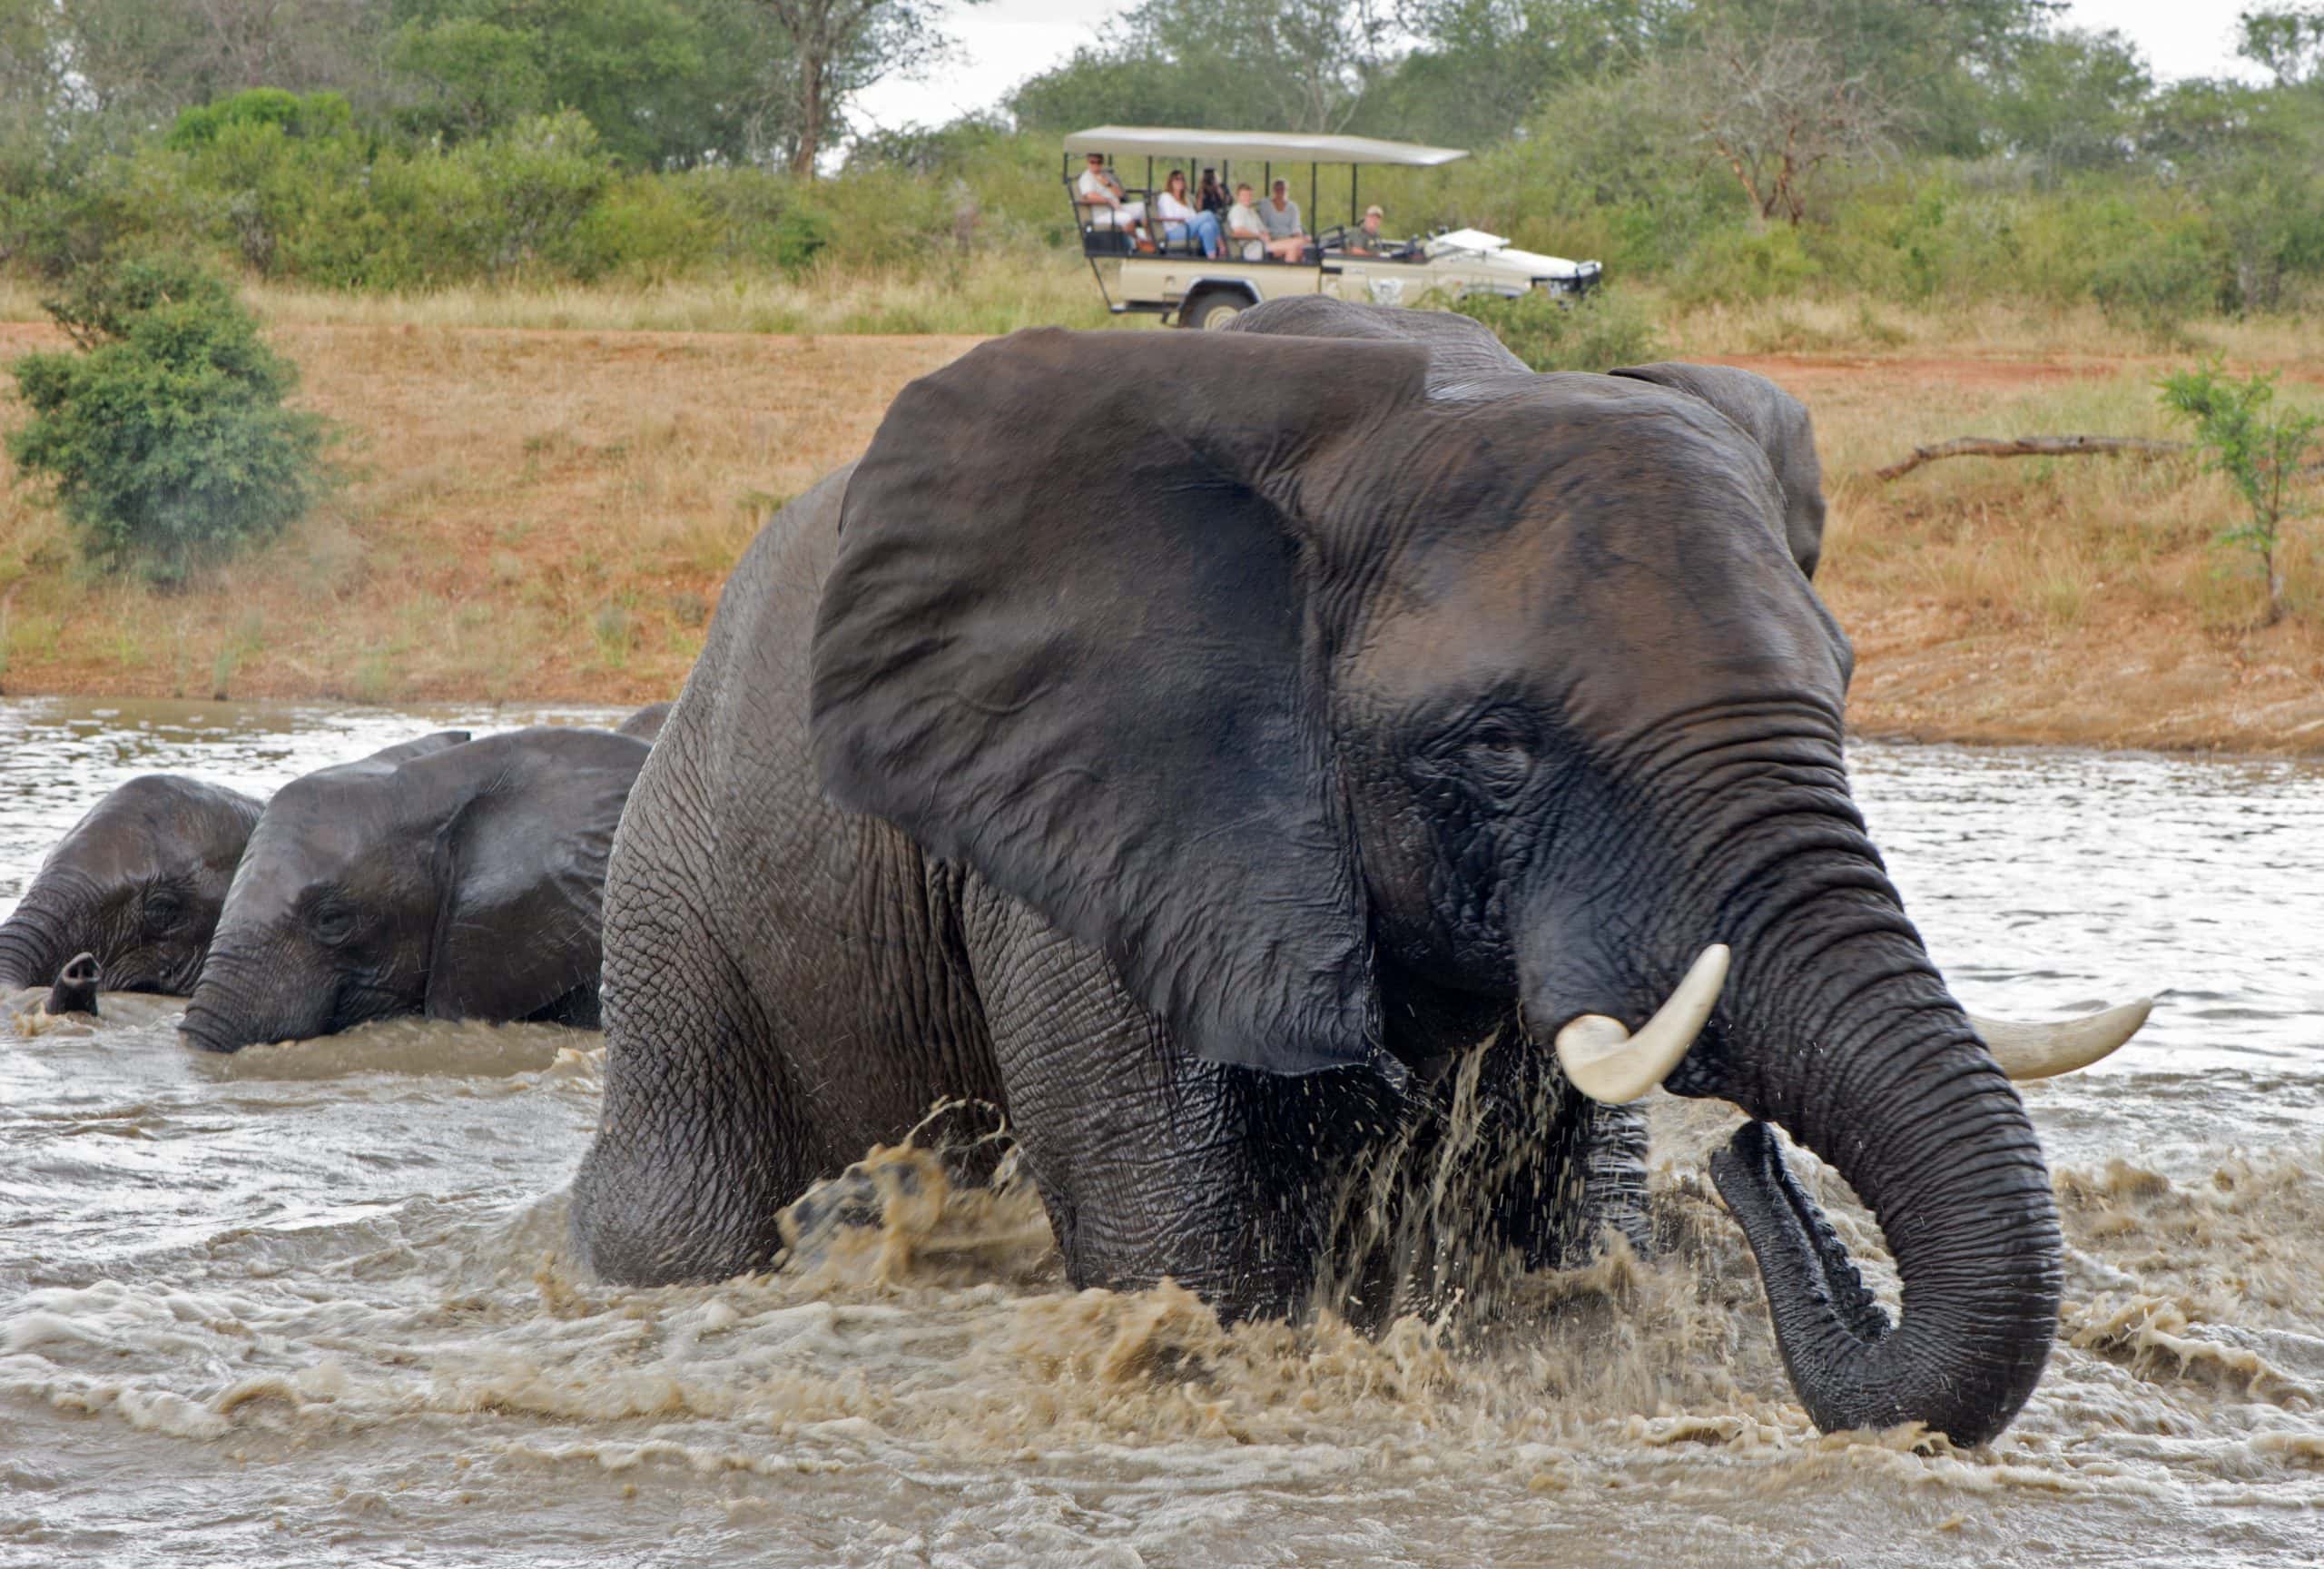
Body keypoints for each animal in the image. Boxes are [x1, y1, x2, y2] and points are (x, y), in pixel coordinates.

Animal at [571, 313, 2147, 1450]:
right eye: (1499, 746)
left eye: (1843, 686)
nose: (1754, 1154)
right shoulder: (1102, 826)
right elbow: (1190, 1264)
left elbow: (1573, 1231)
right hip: (679, 931)